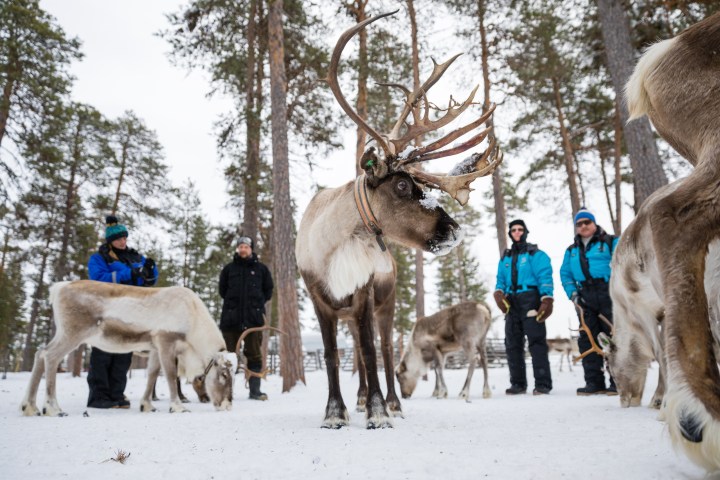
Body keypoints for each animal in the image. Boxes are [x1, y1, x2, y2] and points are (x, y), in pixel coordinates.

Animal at [20, 280, 234, 416]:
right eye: (224, 375)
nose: (227, 406)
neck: (193, 322)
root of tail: (58, 288)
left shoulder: (154, 346)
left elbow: (152, 374)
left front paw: (147, 405)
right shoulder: (165, 340)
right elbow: (171, 376)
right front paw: (178, 407)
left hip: (63, 333)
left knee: (40, 353)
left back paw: (30, 407)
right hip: (73, 333)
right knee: (50, 356)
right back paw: (53, 408)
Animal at [296, 11, 502, 429]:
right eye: (404, 184)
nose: (454, 230)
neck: (333, 246)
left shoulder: (364, 293)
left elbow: (372, 351)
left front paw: (379, 412)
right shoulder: (317, 295)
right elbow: (331, 354)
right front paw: (335, 412)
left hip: (385, 303)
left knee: (384, 348)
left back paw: (389, 402)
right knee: (359, 352)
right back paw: (360, 398)